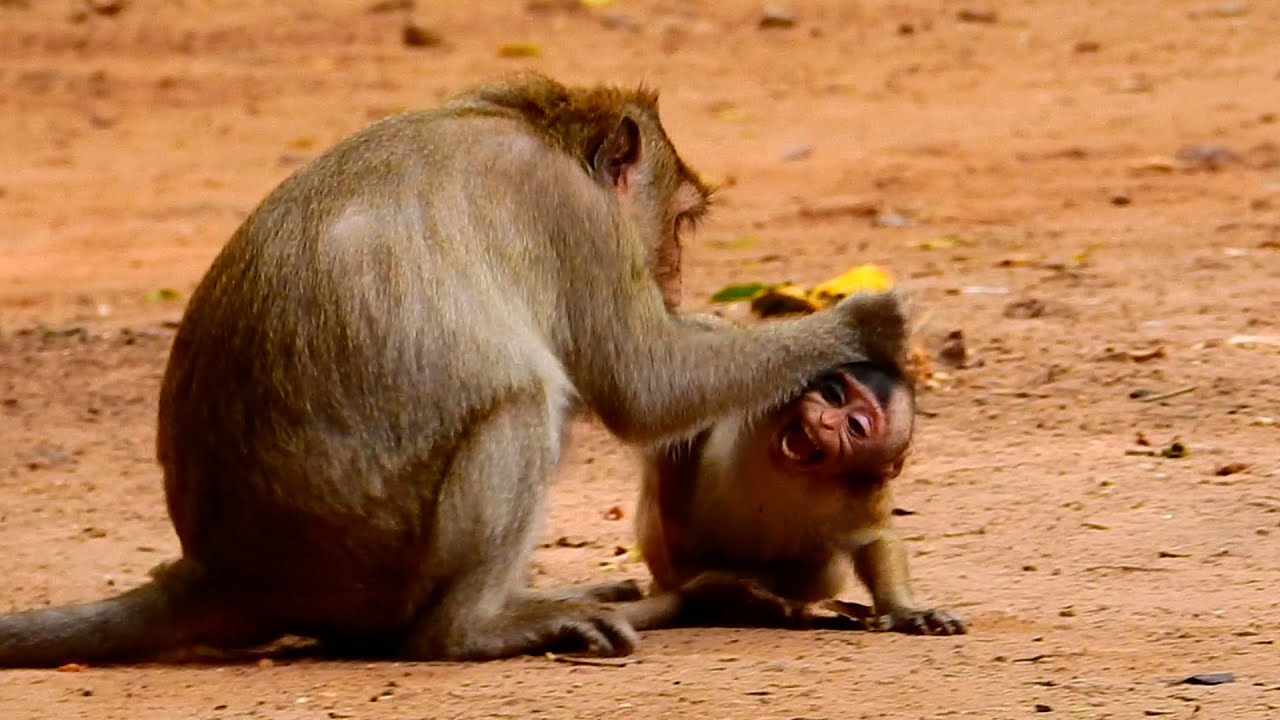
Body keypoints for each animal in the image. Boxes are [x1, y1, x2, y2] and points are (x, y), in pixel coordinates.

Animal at [0, 74, 904, 667]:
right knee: (524, 404)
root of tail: (225, 570)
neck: (545, 134)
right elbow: (643, 385)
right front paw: (859, 322)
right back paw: (477, 628)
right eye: (678, 223)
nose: (675, 279)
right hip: (382, 571)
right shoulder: (572, 219)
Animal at [617, 307, 967, 637]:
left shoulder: (865, 487)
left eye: (855, 426)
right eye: (833, 395)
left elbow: (872, 539)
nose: (825, 420)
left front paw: (903, 610)